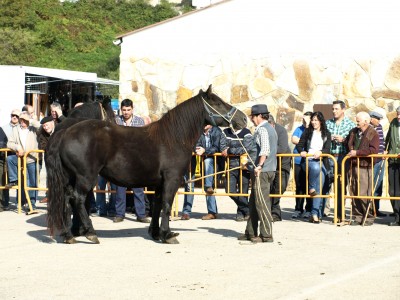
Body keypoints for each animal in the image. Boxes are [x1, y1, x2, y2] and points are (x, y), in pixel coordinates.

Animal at [46, 85, 247, 245]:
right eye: (218, 103)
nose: (243, 119)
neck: (173, 138)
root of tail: (65, 133)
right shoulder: (172, 180)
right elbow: (166, 204)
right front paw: (167, 235)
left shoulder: (158, 183)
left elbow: (157, 205)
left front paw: (156, 232)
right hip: (85, 177)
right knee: (78, 199)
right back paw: (90, 233)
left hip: (71, 177)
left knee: (66, 198)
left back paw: (68, 235)